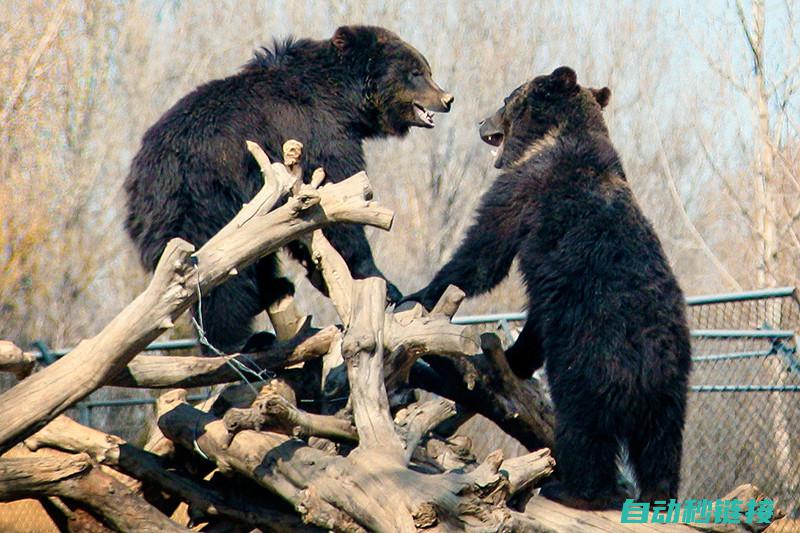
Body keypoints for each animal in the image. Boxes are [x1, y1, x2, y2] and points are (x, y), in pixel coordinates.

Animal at [125, 25, 450, 352]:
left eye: (426, 70)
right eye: (415, 72)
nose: (447, 98)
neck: (344, 104)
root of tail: (141, 179)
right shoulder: (318, 135)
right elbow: (339, 206)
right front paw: (385, 283)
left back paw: (274, 290)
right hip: (206, 201)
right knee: (221, 280)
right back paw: (235, 342)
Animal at [406, 66, 692, 508]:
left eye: (507, 99)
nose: (480, 121)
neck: (552, 138)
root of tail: (646, 365)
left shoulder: (528, 188)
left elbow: (485, 249)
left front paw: (417, 293)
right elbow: (533, 320)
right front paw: (512, 356)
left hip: (588, 358)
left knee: (583, 427)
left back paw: (574, 489)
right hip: (671, 392)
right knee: (660, 447)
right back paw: (658, 494)